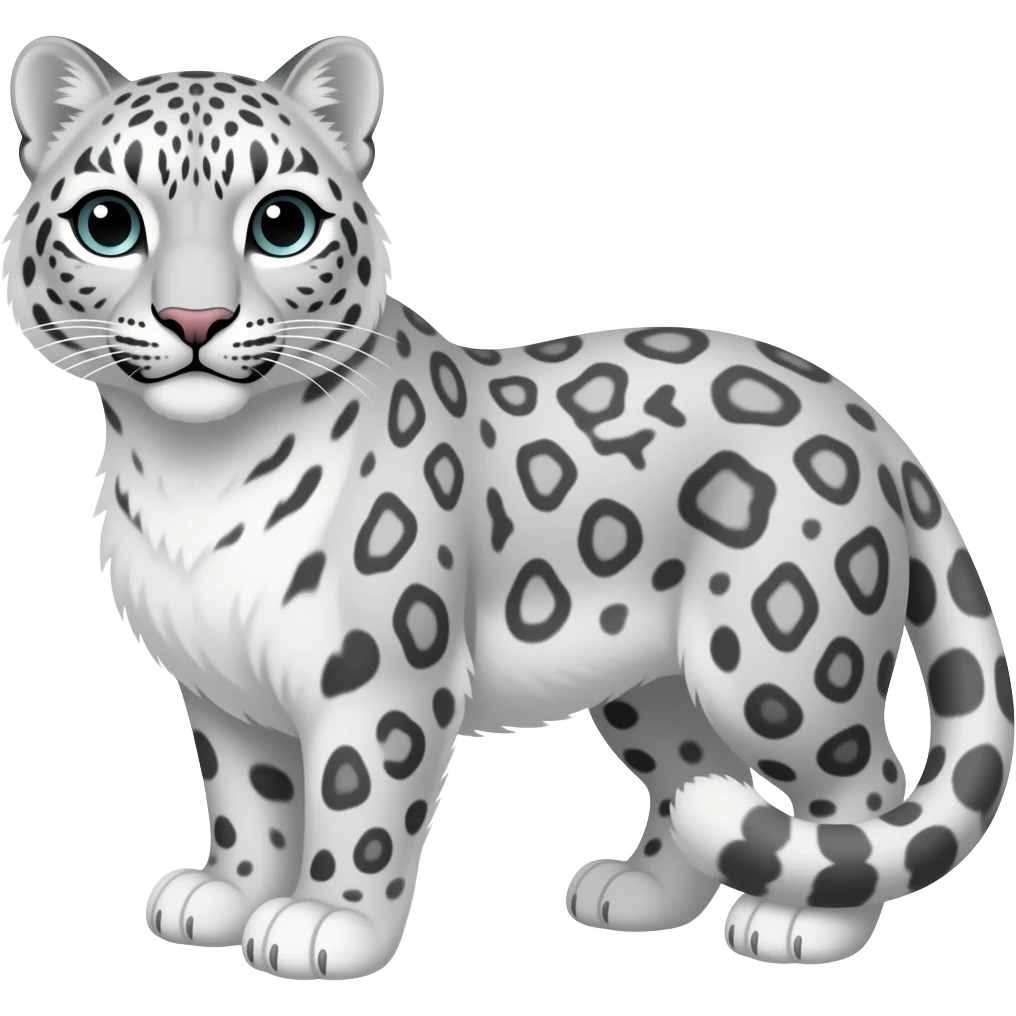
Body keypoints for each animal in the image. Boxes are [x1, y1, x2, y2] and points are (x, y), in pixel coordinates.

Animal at [3, 32, 1012, 980]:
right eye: (108, 221)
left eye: (282, 222)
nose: (196, 321)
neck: (191, 476)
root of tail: (864, 414)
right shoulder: (221, 689)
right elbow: (252, 803)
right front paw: (225, 895)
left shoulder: (378, 679)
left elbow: (358, 804)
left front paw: (328, 924)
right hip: (651, 686)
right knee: (698, 771)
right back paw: (638, 891)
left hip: (780, 665)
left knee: (866, 785)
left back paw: (807, 924)